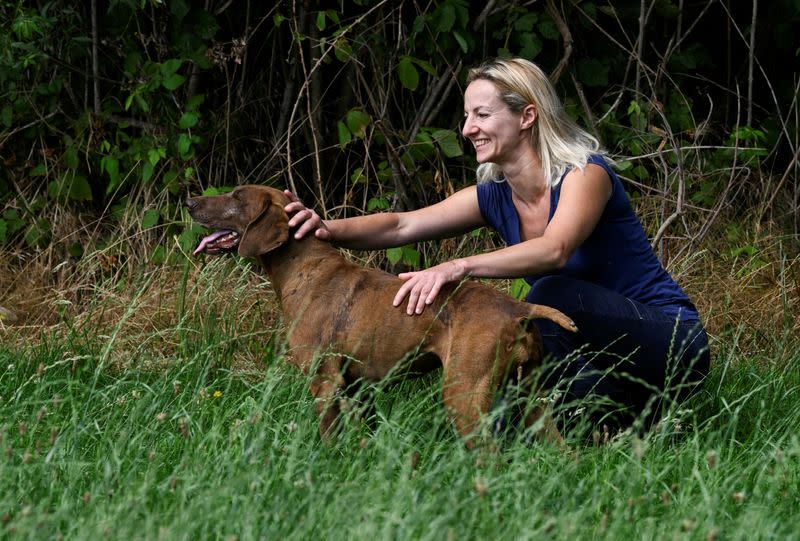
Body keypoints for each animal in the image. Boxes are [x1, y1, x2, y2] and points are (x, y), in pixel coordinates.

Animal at [188, 184, 576, 446]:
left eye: (237, 197)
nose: (190, 201)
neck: (304, 266)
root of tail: (519, 308)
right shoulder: (359, 388)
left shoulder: (325, 382)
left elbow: (328, 440)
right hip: (532, 397)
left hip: (464, 393)